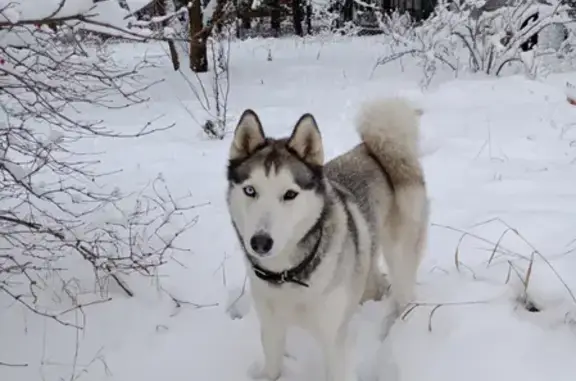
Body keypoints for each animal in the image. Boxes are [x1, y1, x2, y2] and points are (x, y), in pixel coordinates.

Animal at [225, 96, 428, 378]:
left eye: (290, 194)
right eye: (250, 190)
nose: (260, 242)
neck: (287, 275)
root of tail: (370, 148)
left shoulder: (333, 341)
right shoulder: (271, 329)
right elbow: (272, 367)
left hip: (401, 256)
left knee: (402, 292)